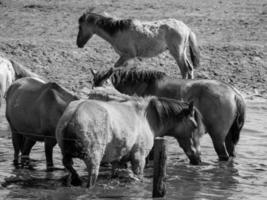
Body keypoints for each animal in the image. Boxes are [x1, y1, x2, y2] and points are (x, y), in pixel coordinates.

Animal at [55, 94, 204, 187]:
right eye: (195, 126)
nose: (198, 159)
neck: (146, 118)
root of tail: (74, 116)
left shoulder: (118, 160)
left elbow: (114, 174)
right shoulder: (139, 157)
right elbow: (139, 176)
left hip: (68, 154)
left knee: (68, 165)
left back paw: (76, 179)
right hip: (93, 160)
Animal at [91, 67, 247, 161]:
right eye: (93, 86)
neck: (144, 86)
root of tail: (234, 93)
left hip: (218, 137)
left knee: (224, 155)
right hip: (228, 137)